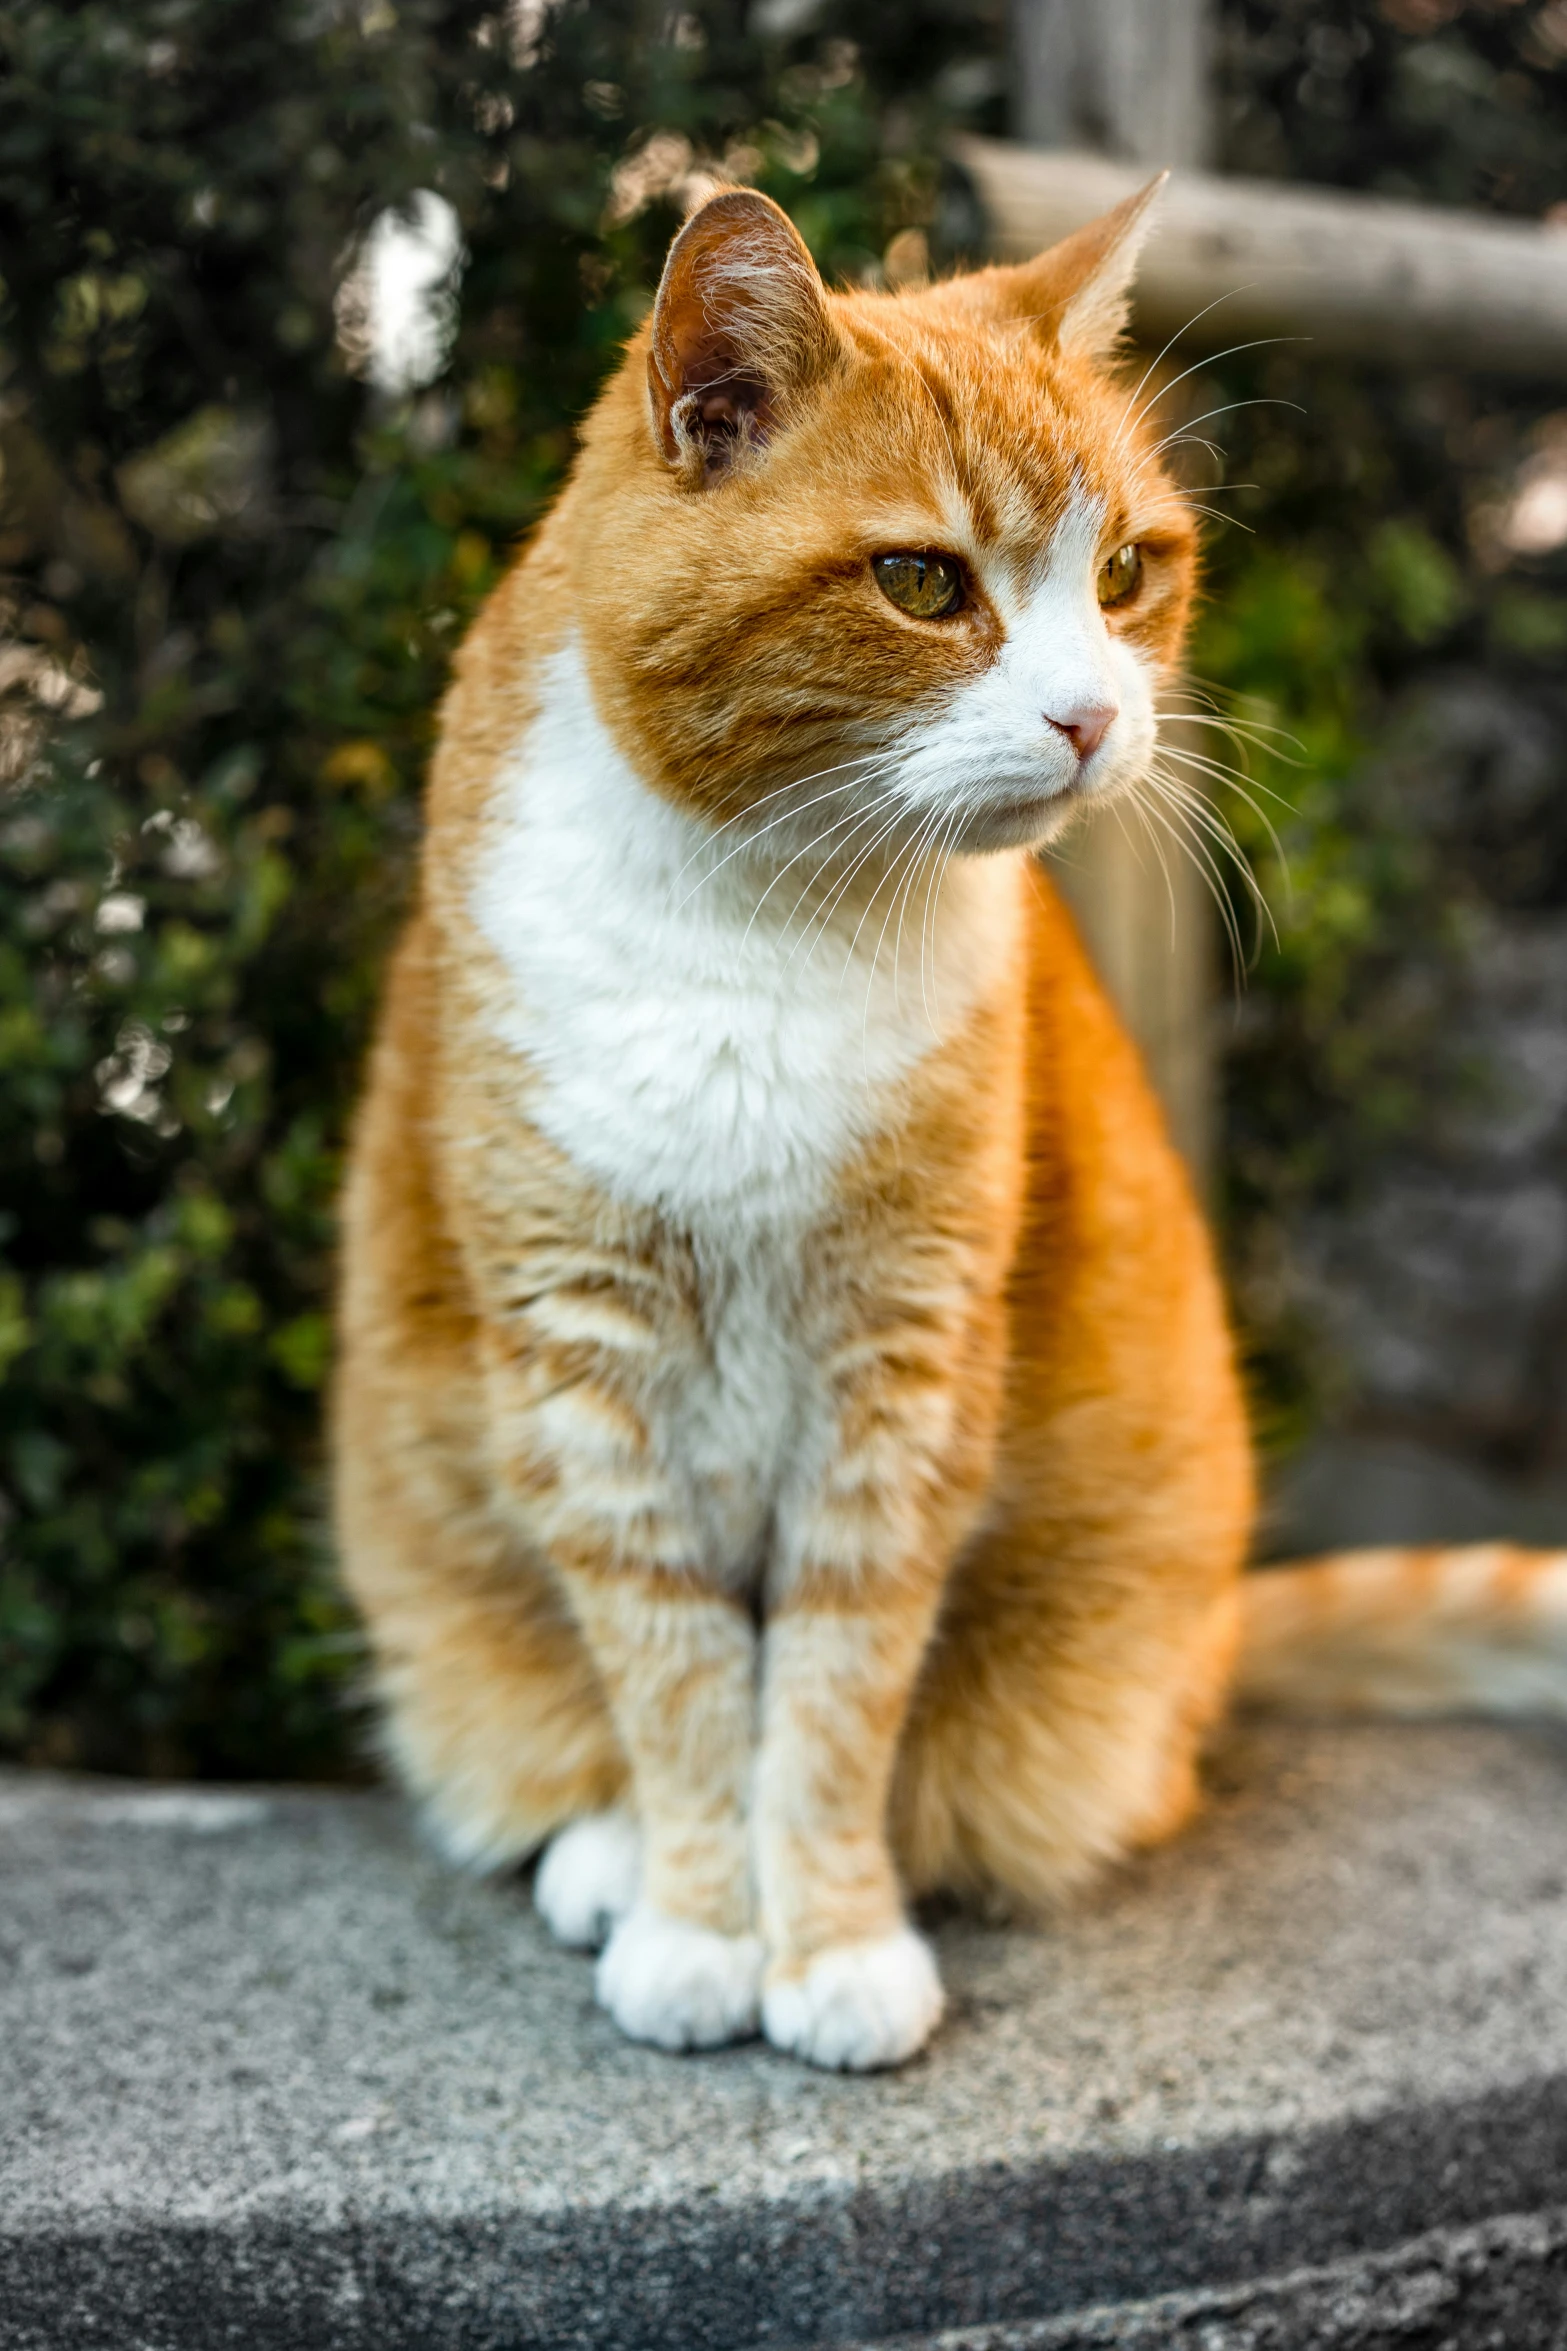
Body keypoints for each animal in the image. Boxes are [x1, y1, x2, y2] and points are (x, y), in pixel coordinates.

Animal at [331, 188, 1567, 2078]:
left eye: (1123, 572)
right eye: (922, 582)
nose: (1092, 717)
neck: (765, 930)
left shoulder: (901, 1364)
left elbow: (833, 1692)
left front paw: (829, 1938)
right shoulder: (583, 1356)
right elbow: (676, 1676)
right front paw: (703, 1920)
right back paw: (609, 1857)